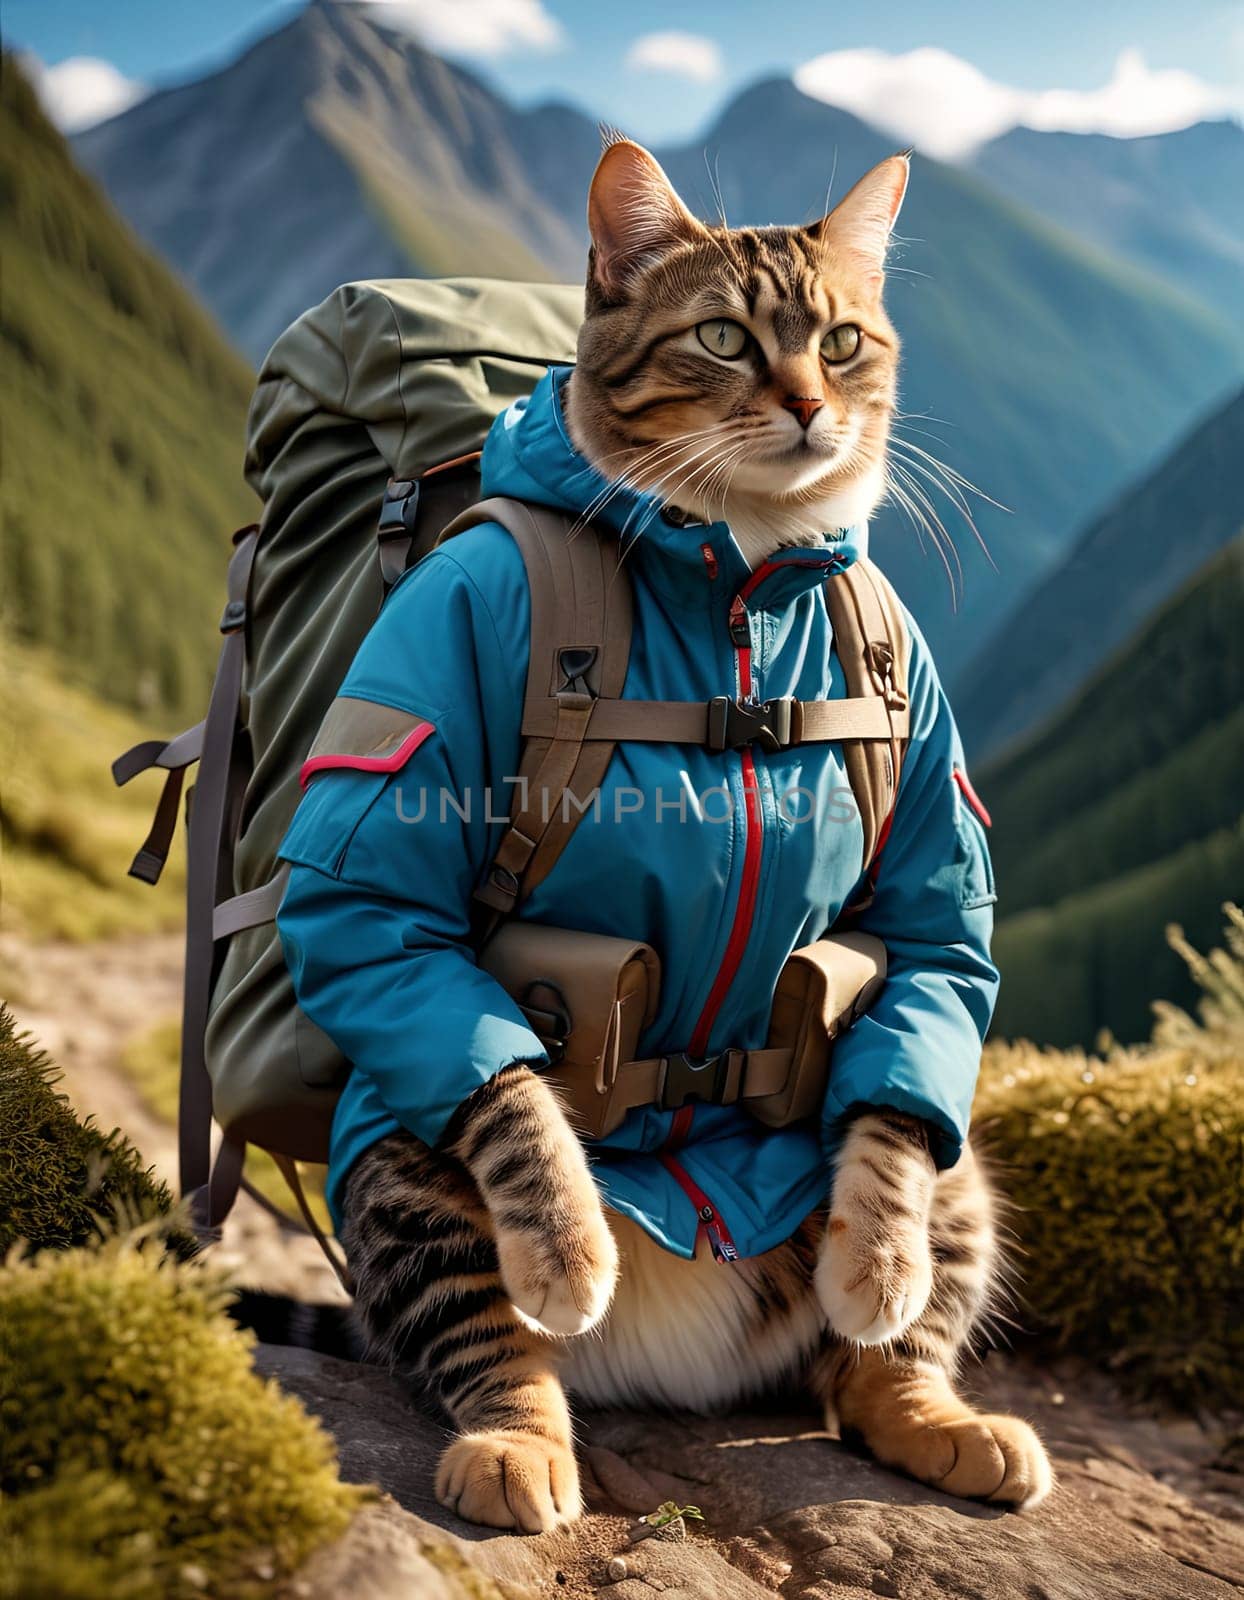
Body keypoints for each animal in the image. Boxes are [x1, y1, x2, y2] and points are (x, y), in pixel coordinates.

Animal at [334, 144, 1042, 1529]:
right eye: (722, 337)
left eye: (839, 339)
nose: (810, 404)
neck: (738, 584)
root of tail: (672, 1372)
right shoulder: (397, 942)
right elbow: (511, 1100)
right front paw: (566, 1242)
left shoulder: (926, 934)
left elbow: (915, 1019)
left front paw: (876, 1262)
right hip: (401, 1157)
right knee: (494, 1345)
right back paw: (517, 1437)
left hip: (958, 1146)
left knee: (874, 1348)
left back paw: (941, 1414)